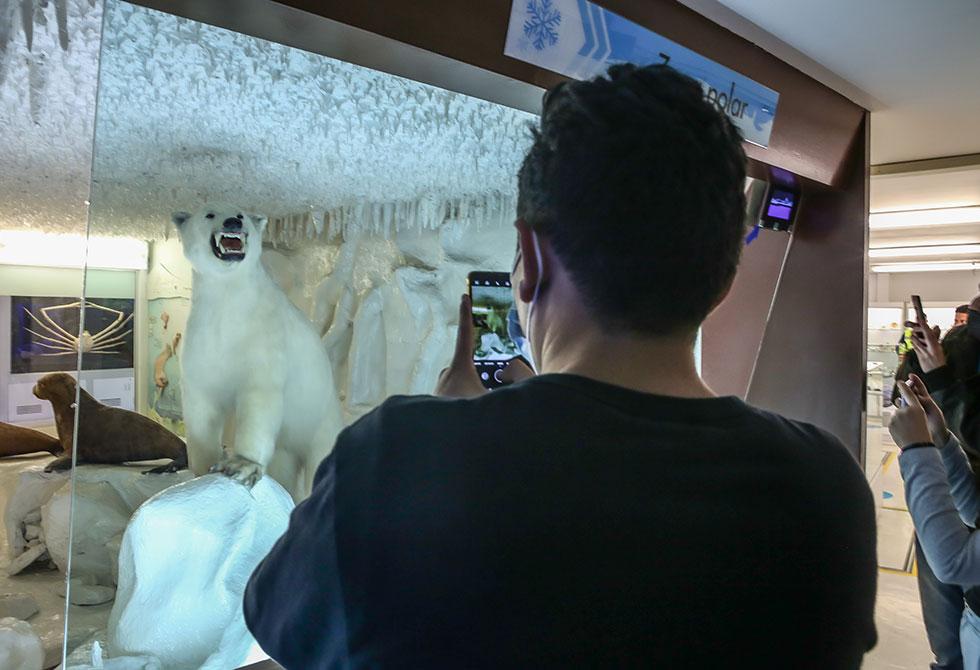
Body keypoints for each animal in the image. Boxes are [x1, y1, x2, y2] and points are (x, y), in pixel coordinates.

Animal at [173, 207, 343, 501]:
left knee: (320, 458)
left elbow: (259, 395)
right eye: (209, 214)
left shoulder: (263, 335)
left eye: (241, 213)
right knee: (285, 465)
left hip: (319, 417)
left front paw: (241, 465)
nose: (233, 222)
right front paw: (203, 468)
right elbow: (202, 402)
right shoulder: (202, 341)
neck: (229, 301)